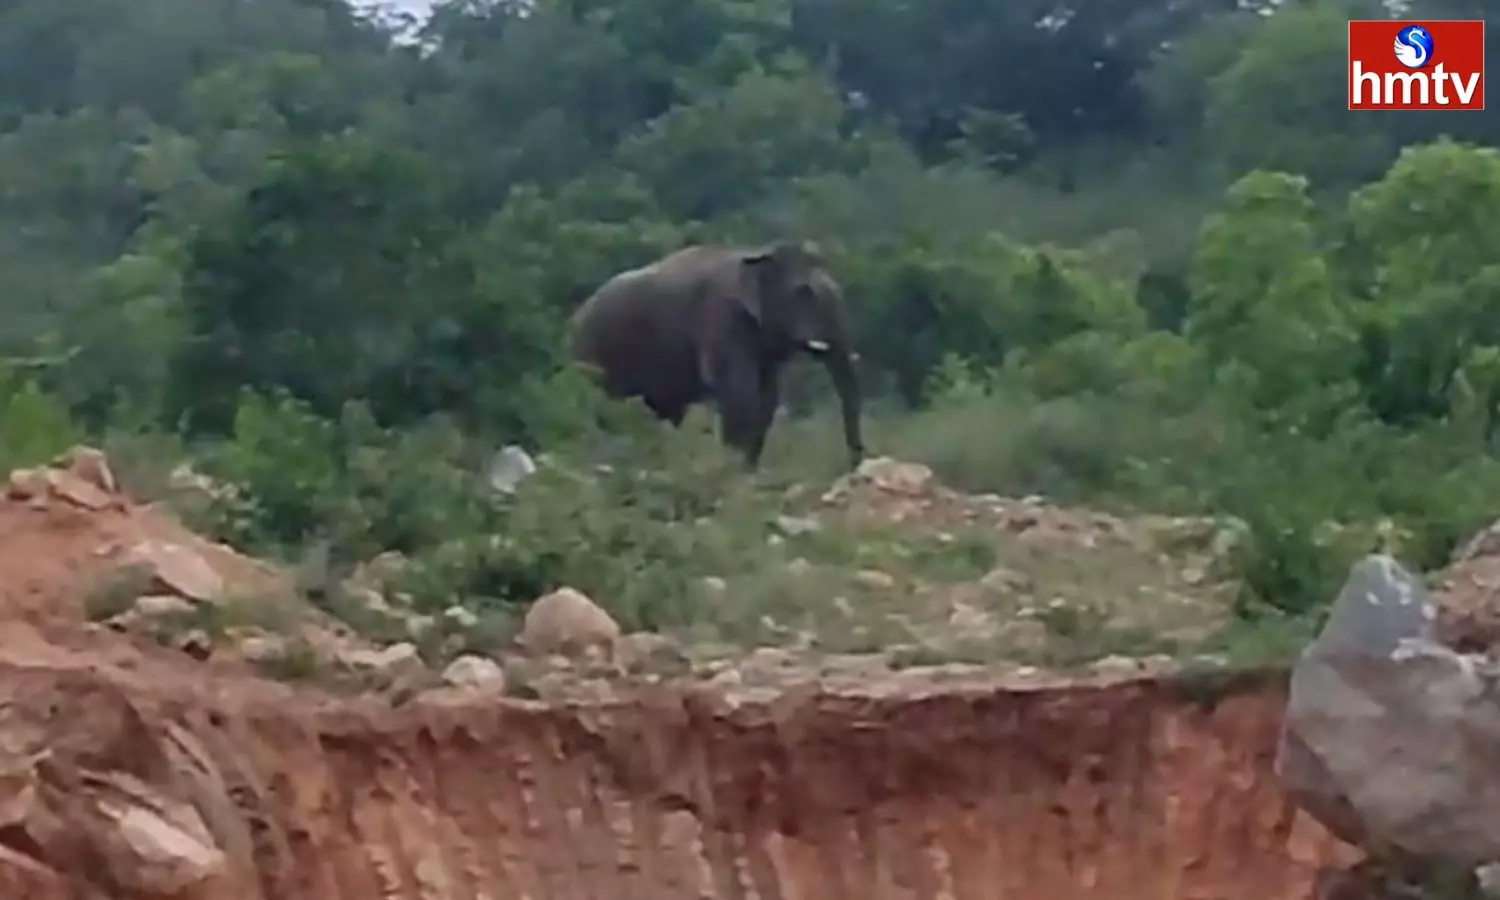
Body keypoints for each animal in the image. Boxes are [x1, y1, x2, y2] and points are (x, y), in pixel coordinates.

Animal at [567, 239, 864, 470]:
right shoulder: (721, 319)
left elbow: (766, 398)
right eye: (804, 292)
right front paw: (734, 474)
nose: (854, 465)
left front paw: (747, 473)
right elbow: (739, 393)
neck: (753, 254)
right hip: (594, 356)